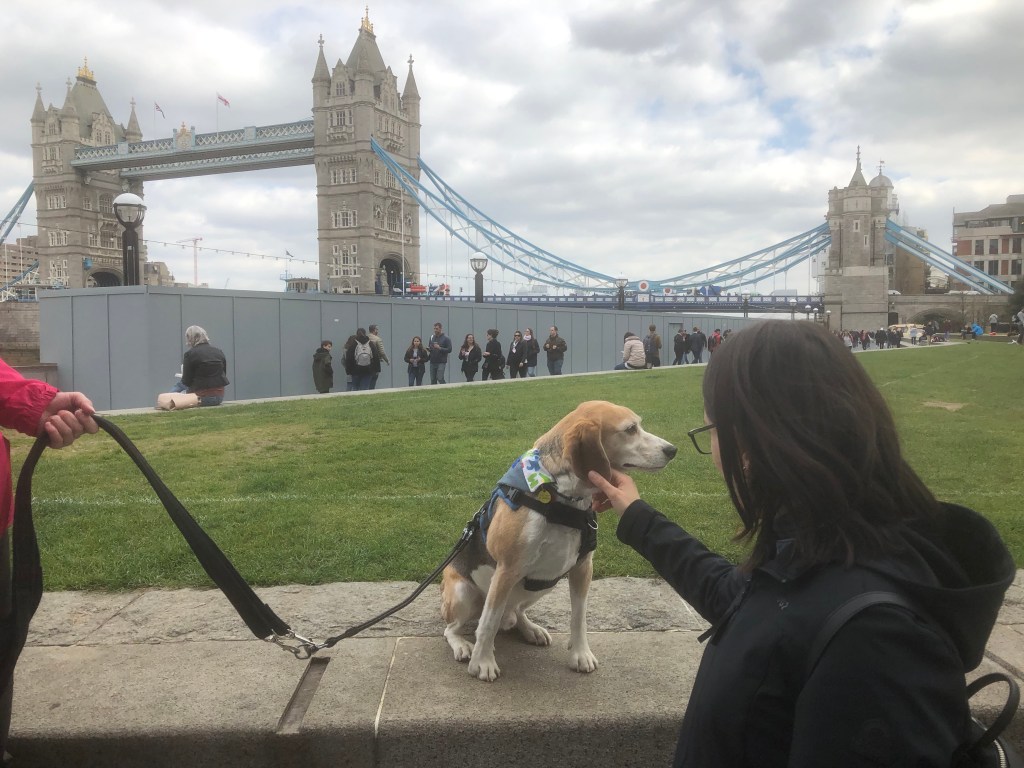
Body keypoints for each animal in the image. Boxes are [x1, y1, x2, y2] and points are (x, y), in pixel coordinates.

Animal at [441, 400, 677, 681]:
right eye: (630, 429)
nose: (672, 450)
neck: (558, 497)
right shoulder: (507, 569)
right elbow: (487, 624)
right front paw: (483, 662)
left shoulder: (583, 567)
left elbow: (579, 617)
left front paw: (580, 654)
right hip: (463, 593)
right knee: (454, 628)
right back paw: (463, 645)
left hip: (544, 584)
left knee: (515, 611)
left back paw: (530, 629)